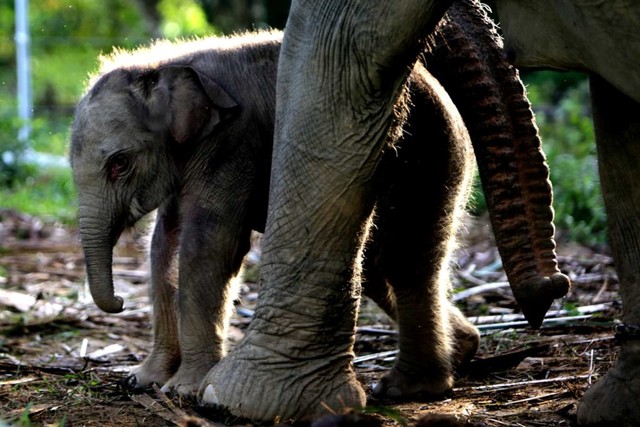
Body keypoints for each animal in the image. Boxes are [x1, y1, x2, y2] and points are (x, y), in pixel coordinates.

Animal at [70, 30, 480, 402]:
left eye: (119, 164)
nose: (120, 303)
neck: (164, 64)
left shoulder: (234, 142)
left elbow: (209, 246)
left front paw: (184, 390)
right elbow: (163, 247)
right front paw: (141, 381)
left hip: (433, 155)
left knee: (405, 261)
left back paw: (408, 388)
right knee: (375, 264)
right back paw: (463, 349)